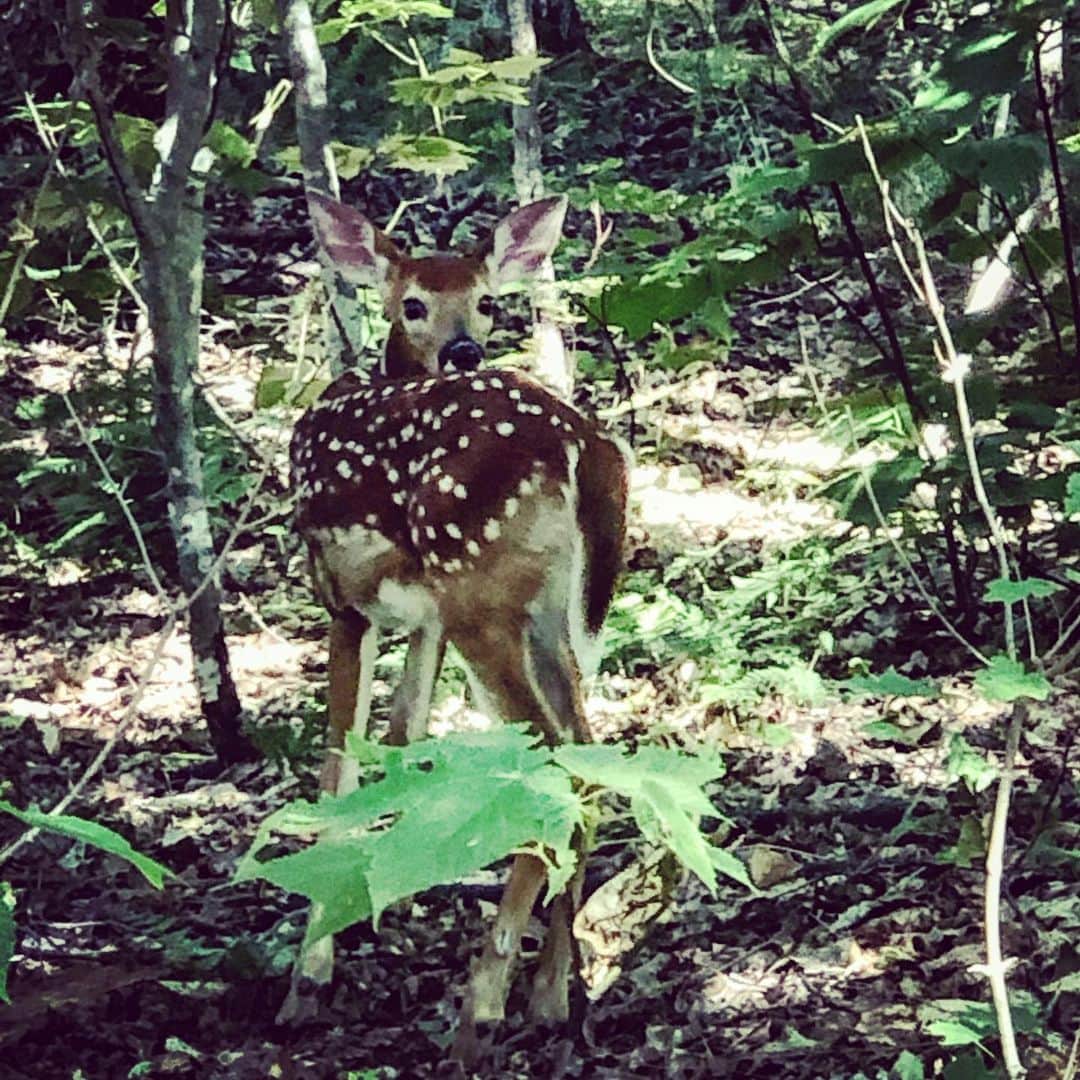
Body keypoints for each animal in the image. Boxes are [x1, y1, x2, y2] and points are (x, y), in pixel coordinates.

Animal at [284, 190, 630, 1060]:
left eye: (486, 300)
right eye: (413, 302)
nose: (466, 349)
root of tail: (583, 445)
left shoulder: (342, 601)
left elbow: (337, 766)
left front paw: (312, 971)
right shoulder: (425, 622)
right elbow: (403, 735)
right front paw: (389, 894)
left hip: (481, 590)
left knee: (552, 758)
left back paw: (482, 1008)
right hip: (543, 613)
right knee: (589, 753)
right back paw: (551, 993)